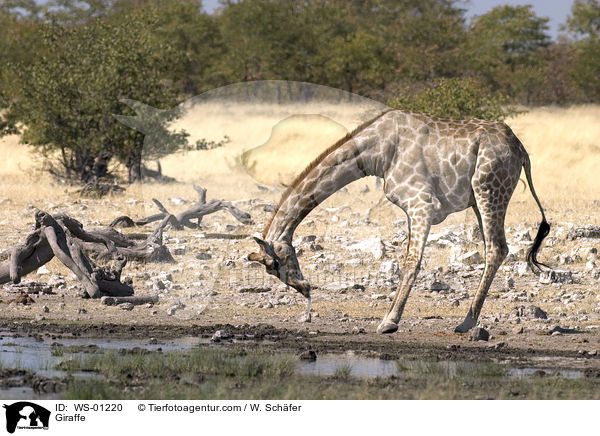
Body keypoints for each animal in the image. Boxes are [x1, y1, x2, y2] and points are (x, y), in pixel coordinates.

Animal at [247, 108, 548, 334]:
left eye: (274, 264)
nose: (305, 288)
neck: (377, 152)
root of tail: (520, 148)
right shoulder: (412, 209)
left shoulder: (421, 203)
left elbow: (410, 263)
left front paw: (389, 322)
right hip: (478, 199)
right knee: (494, 248)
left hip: (489, 189)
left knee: (497, 248)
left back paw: (466, 322)